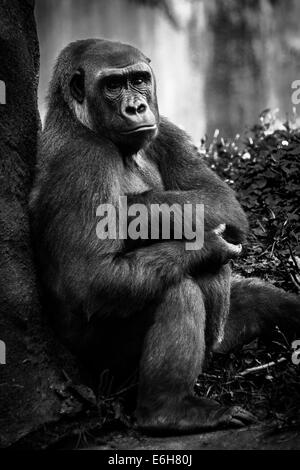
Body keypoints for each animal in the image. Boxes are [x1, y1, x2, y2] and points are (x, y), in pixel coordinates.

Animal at [29, 40, 300, 434]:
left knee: (255, 299)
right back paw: (168, 409)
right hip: (104, 372)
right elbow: (92, 279)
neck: (78, 120)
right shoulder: (82, 161)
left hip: (220, 339)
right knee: (176, 288)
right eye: (113, 85)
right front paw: (202, 242)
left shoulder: (166, 128)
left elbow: (219, 199)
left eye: (140, 80)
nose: (136, 107)